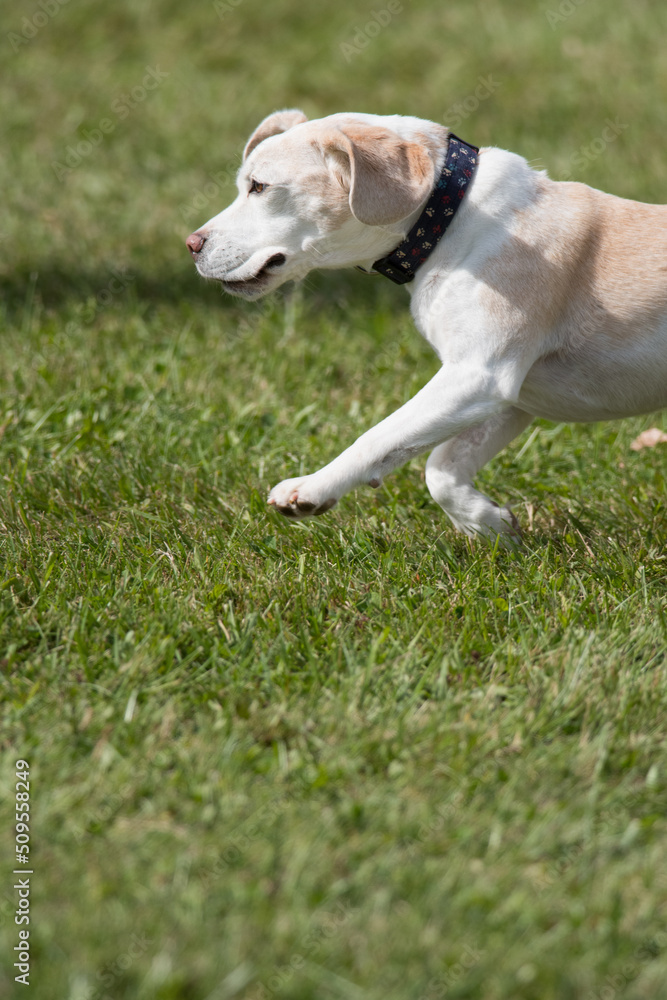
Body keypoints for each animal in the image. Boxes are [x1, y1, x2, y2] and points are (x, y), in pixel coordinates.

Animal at [185, 110, 667, 544]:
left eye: (260, 187)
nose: (191, 245)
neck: (450, 219)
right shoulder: (509, 396)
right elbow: (439, 467)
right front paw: (490, 526)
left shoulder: (478, 376)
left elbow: (378, 436)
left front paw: (312, 489)